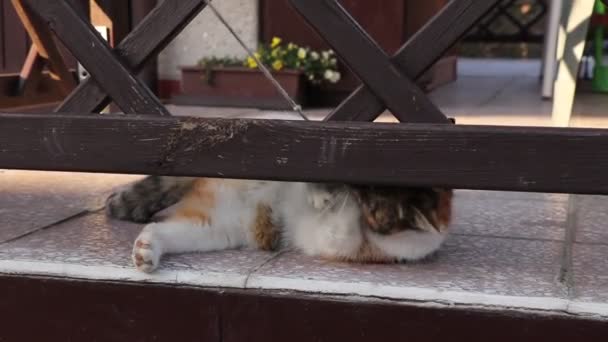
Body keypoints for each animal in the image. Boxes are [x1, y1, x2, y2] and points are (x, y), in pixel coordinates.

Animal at [107, 176, 454, 272]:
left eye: (373, 197)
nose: (353, 185)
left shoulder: (346, 240)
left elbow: (341, 229)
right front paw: (323, 193)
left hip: (213, 227)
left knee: (160, 229)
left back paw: (146, 250)